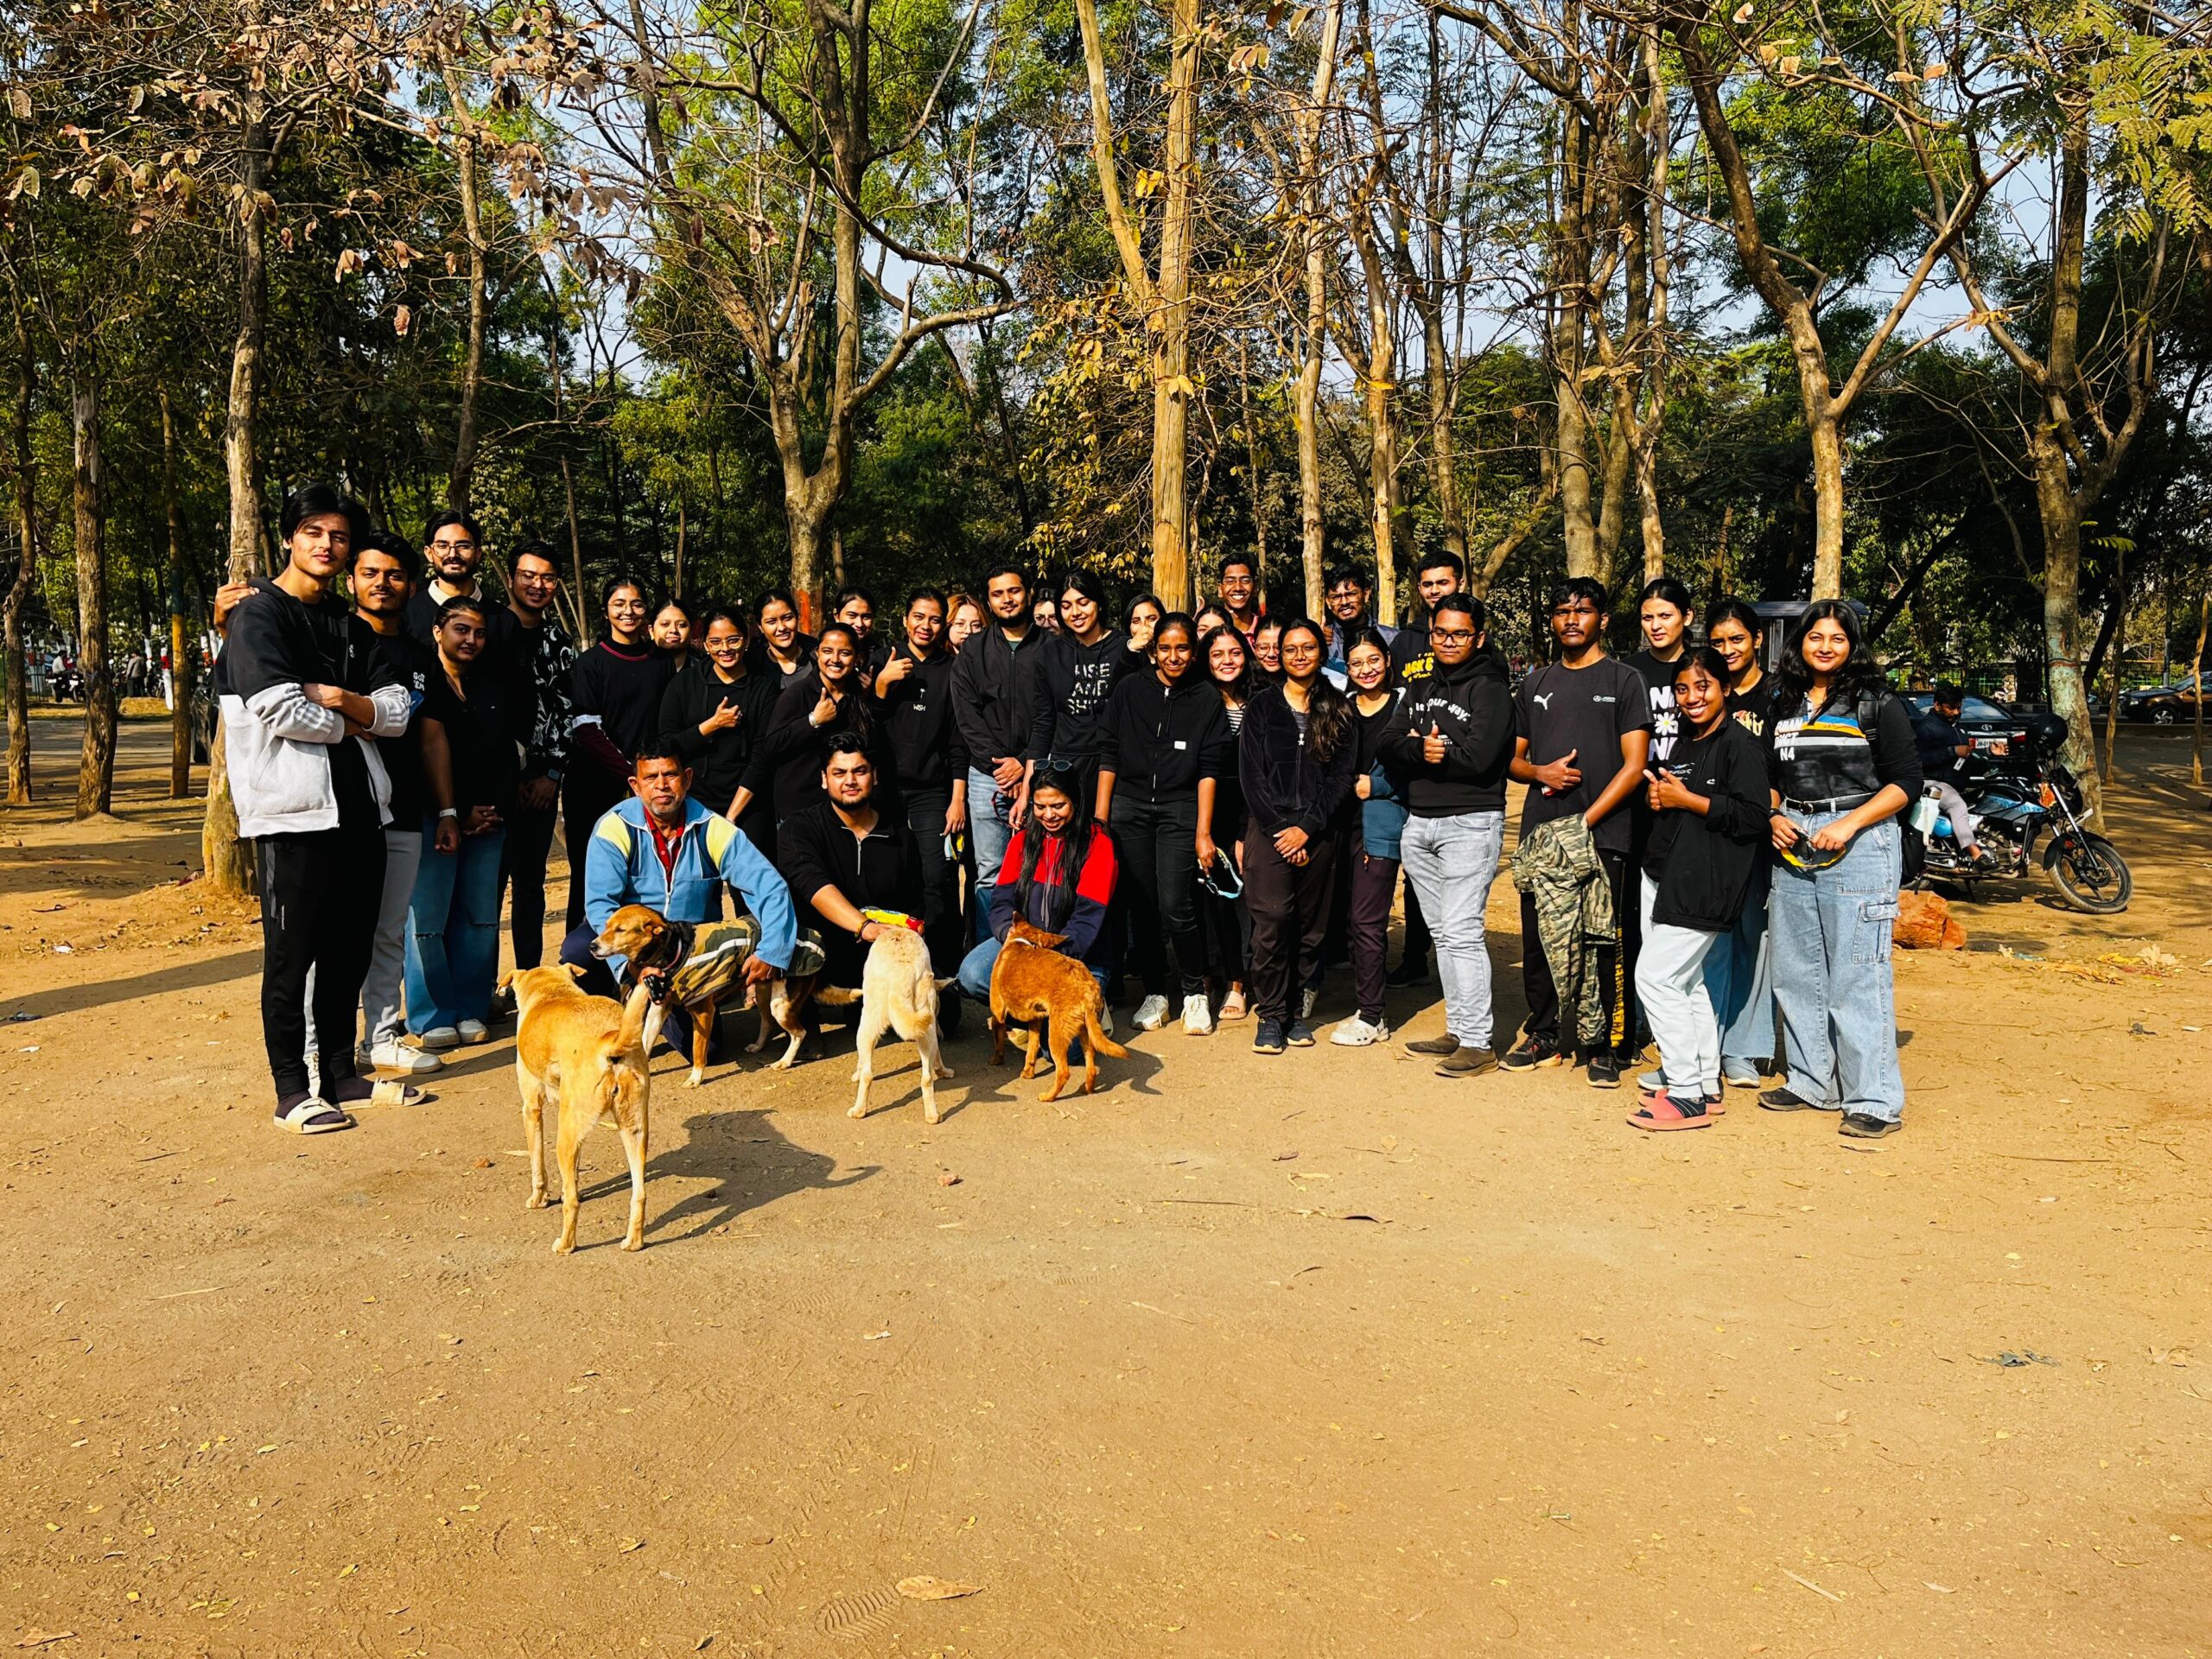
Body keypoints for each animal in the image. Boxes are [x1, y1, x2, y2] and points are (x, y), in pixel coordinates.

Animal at [503, 964, 660, 1255]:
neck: (551, 991)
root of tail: (611, 1041)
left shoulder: (531, 1109)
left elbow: (537, 1165)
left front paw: (539, 1198)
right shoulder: (577, 1132)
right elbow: (573, 1177)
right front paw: (570, 1188)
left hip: (563, 1140)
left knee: (572, 1206)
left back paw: (566, 1245)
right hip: (633, 1132)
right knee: (640, 1194)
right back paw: (633, 1242)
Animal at [591, 906, 828, 1081]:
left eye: (621, 930)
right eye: (606, 927)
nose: (593, 946)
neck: (675, 949)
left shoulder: (703, 1012)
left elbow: (698, 1049)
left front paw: (695, 1079)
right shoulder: (658, 1011)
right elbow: (645, 1041)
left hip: (780, 1005)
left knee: (799, 1033)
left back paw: (785, 1061)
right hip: (763, 993)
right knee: (767, 1022)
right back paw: (759, 1046)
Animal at [826, 920, 958, 1124]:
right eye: (938, 1009)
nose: (941, 1034)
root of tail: (902, 969)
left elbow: (861, 1061)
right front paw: (943, 1072)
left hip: (867, 1025)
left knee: (869, 1075)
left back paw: (859, 1110)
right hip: (922, 1029)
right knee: (925, 1078)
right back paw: (931, 1116)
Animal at [987, 917, 1128, 1101]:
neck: (1022, 942)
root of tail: (1088, 989)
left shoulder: (998, 1012)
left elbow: (998, 1041)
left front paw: (996, 1060)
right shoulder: (1036, 1020)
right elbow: (1031, 1049)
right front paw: (1028, 1072)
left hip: (1056, 1034)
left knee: (1063, 1072)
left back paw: (1048, 1096)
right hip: (1086, 1031)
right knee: (1091, 1068)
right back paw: (1086, 1088)